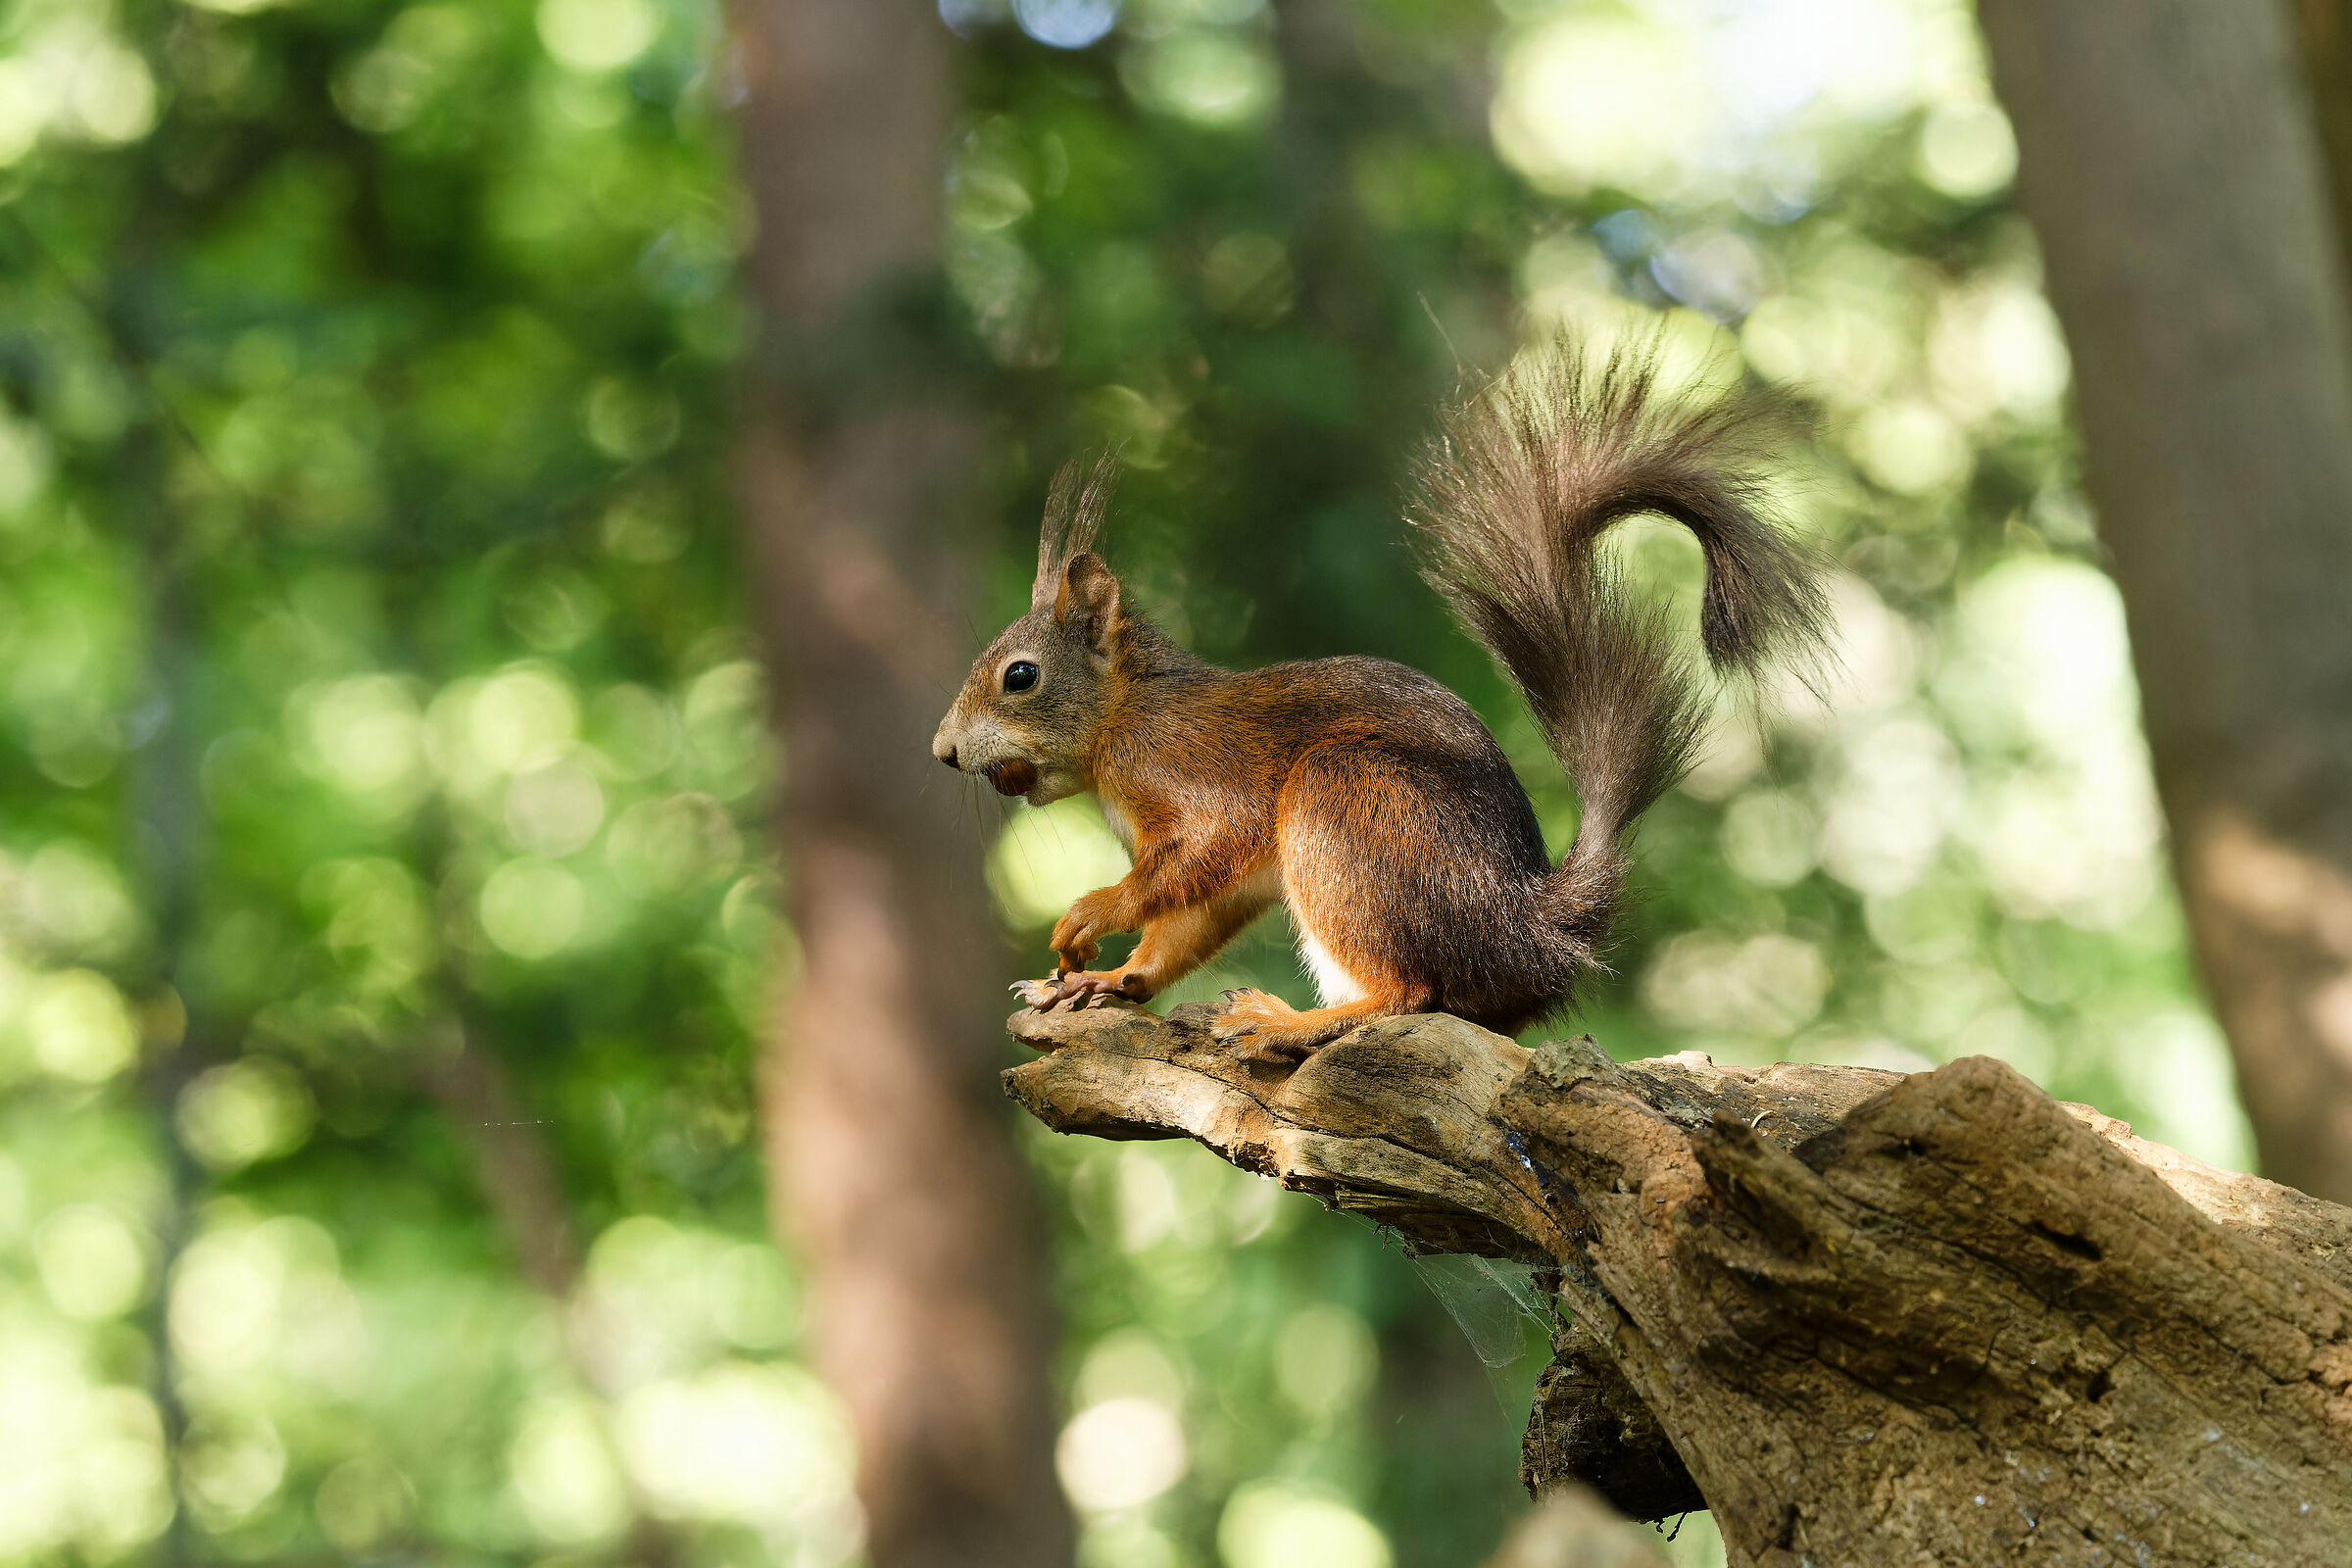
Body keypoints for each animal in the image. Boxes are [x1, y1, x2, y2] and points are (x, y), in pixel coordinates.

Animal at [931, 338, 1831, 1061]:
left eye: (1020, 676)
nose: (942, 751)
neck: (1123, 714)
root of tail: (1529, 935)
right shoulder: (1232, 877)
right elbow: (1190, 918)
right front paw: (1107, 979)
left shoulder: (1192, 774)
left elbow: (1205, 846)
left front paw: (1090, 913)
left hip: (1346, 800)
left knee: (1410, 994)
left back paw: (1289, 1021)